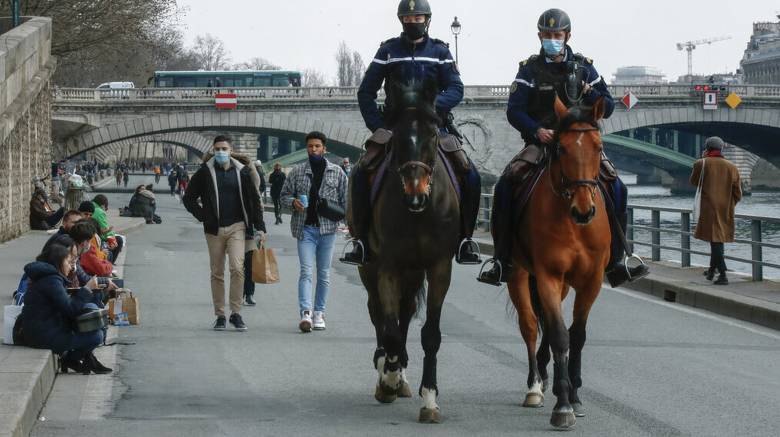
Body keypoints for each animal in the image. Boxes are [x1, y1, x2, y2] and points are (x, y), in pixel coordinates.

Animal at [354, 77, 464, 422]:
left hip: (414, 272)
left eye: (433, 134)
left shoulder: (440, 266)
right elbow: (388, 328)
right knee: (378, 312)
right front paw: (388, 379)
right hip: (370, 267)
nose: (416, 195)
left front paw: (429, 398)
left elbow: (430, 333)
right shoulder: (387, 265)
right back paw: (387, 368)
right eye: (397, 137)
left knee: (404, 312)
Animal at [506, 96, 616, 430]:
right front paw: (563, 405)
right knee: (530, 325)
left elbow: (576, 335)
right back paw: (534, 386)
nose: (584, 210)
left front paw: (574, 396)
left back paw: (548, 378)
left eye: (598, 146)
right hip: (519, 274)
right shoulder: (548, 276)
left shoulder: (591, 280)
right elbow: (558, 334)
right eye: (562, 149)